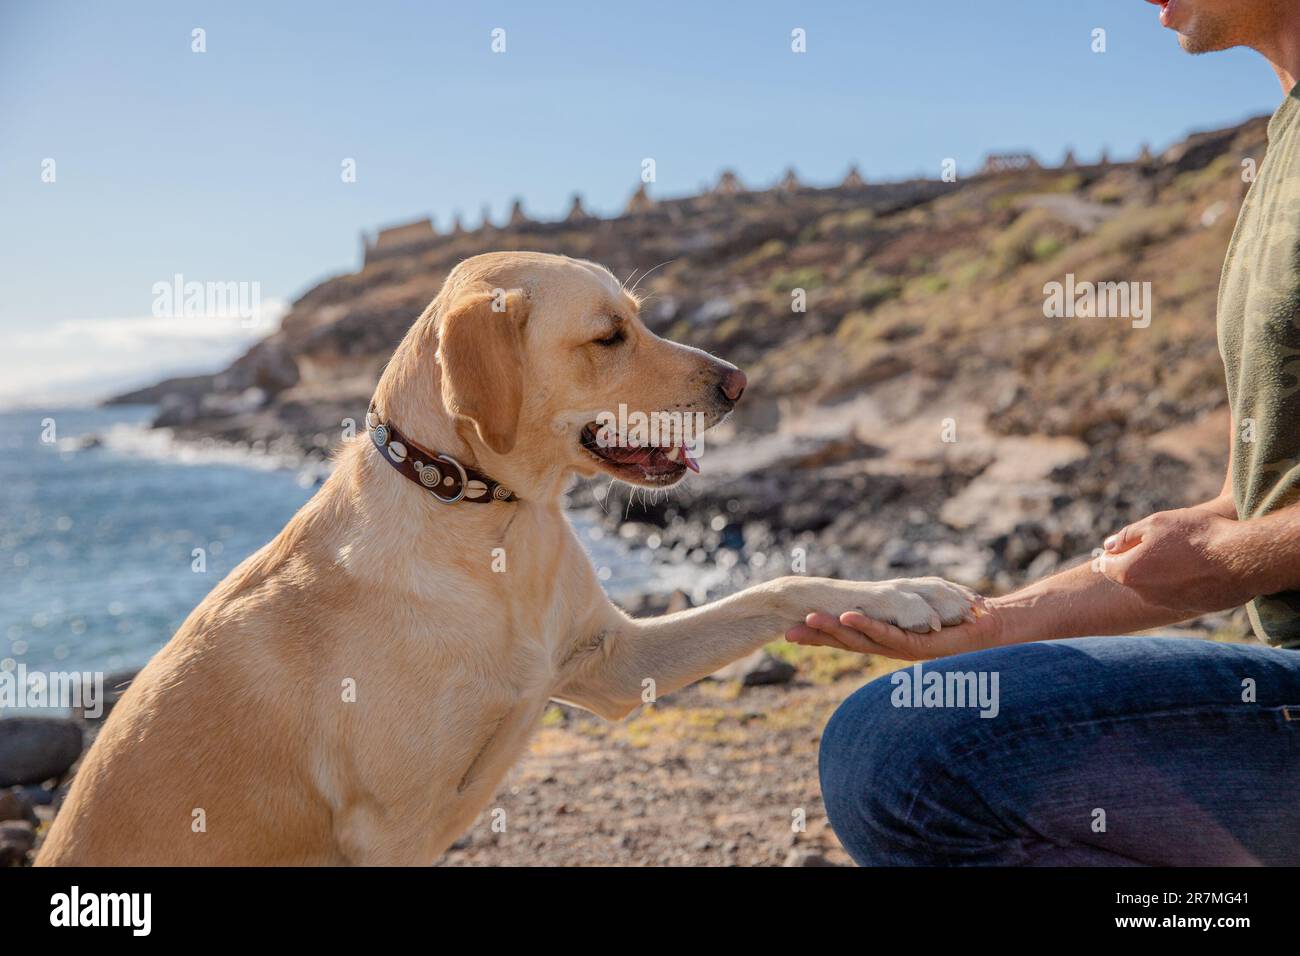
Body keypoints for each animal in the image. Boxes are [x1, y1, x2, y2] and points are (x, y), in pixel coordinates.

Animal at [38, 251, 977, 863]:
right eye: (609, 336)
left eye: (639, 320)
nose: (739, 382)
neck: (488, 521)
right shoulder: (389, 830)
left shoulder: (613, 661)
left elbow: (773, 585)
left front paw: (904, 591)